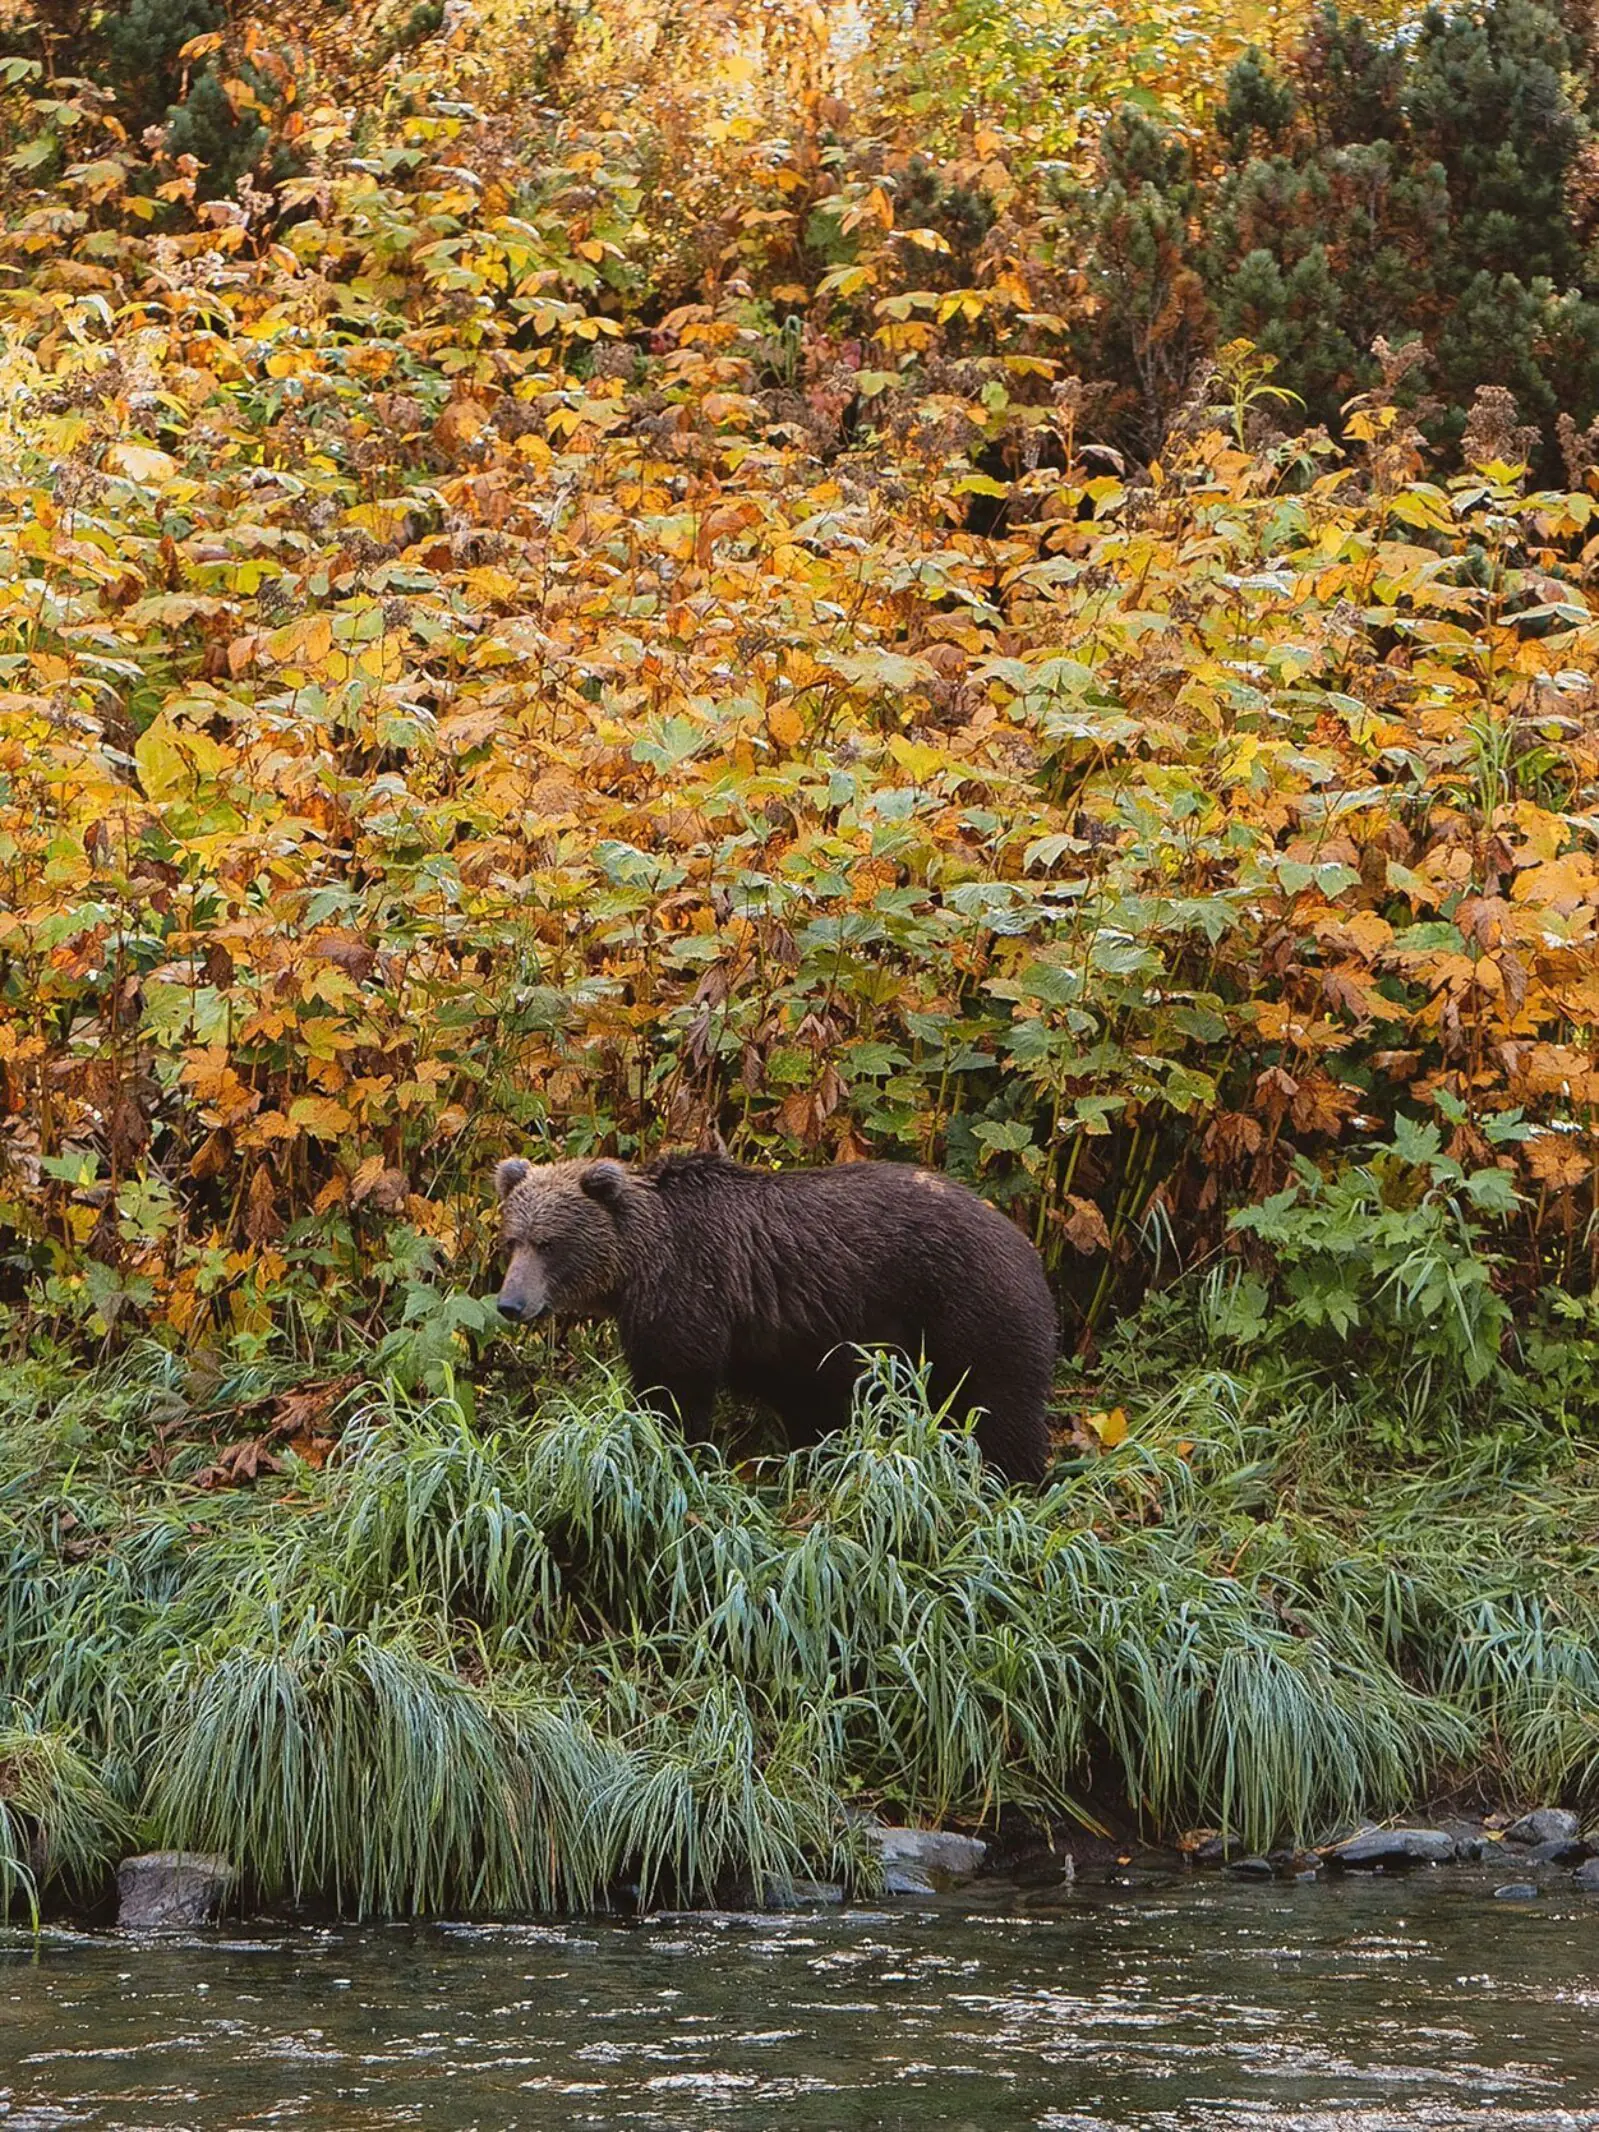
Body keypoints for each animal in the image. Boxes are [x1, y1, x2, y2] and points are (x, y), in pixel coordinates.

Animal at [494, 1151, 1057, 1483]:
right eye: (513, 1239)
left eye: (549, 1243)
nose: (510, 1303)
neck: (639, 1266)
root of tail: (1025, 1244)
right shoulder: (786, 1343)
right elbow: (810, 1409)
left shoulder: (691, 1291)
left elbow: (674, 1389)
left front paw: (671, 1449)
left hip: (966, 1310)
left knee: (997, 1407)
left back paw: (1012, 1481)